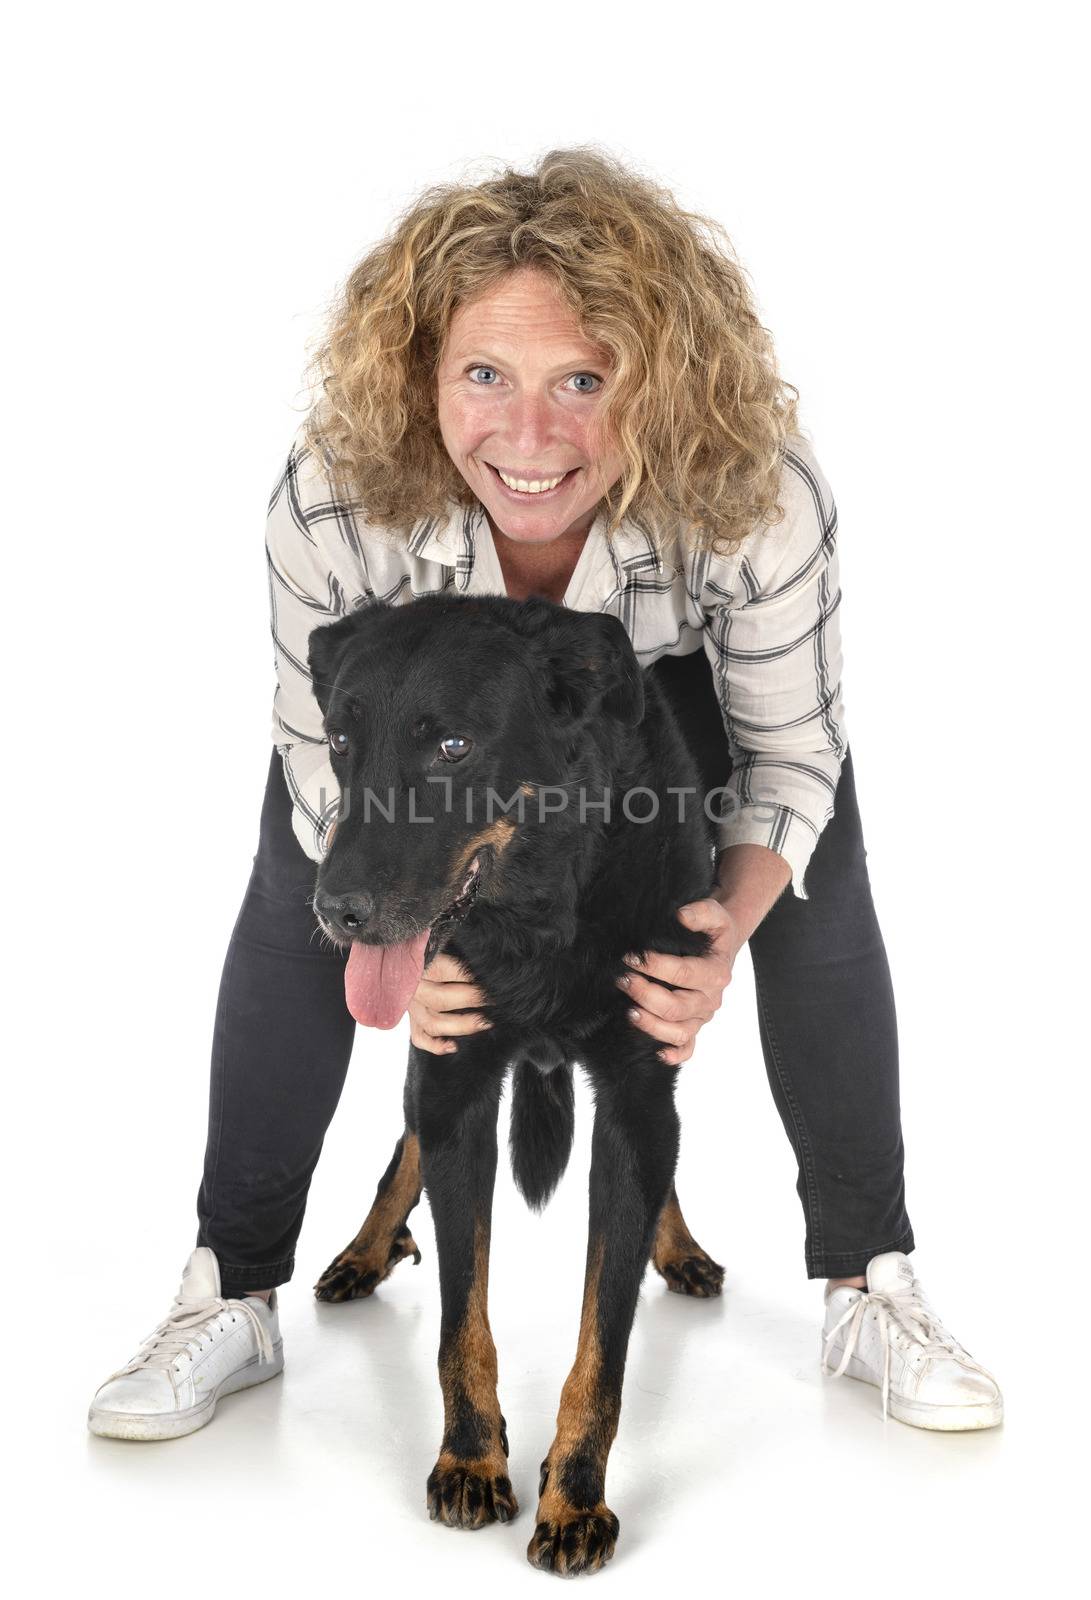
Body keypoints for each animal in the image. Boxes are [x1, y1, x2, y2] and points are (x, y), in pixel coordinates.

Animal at [305, 598, 723, 1574]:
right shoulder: (453, 1072)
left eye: (453, 746)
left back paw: (675, 1242)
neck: (540, 914)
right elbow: (462, 1320)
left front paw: (573, 1501)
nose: (334, 911)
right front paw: (470, 1459)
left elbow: (602, 1345)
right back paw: (366, 1249)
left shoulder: (638, 1084)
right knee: (406, 1141)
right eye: (339, 740)